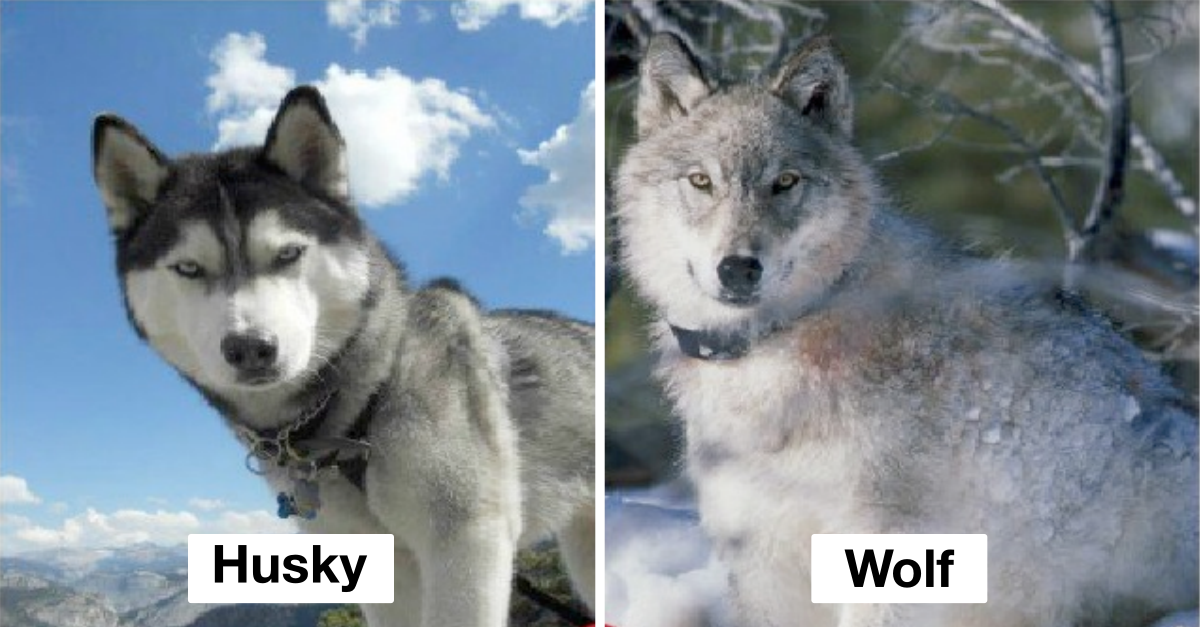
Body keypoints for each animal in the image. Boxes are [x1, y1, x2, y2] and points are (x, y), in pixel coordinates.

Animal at [92, 85, 595, 627]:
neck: (360, 407)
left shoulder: (466, 544)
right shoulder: (384, 564)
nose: (251, 349)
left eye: (288, 254)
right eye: (188, 268)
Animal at [615, 32, 1198, 627]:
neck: (774, 347)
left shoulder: (885, 544)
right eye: (701, 182)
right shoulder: (762, 552)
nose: (738, 268)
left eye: (785, 182)